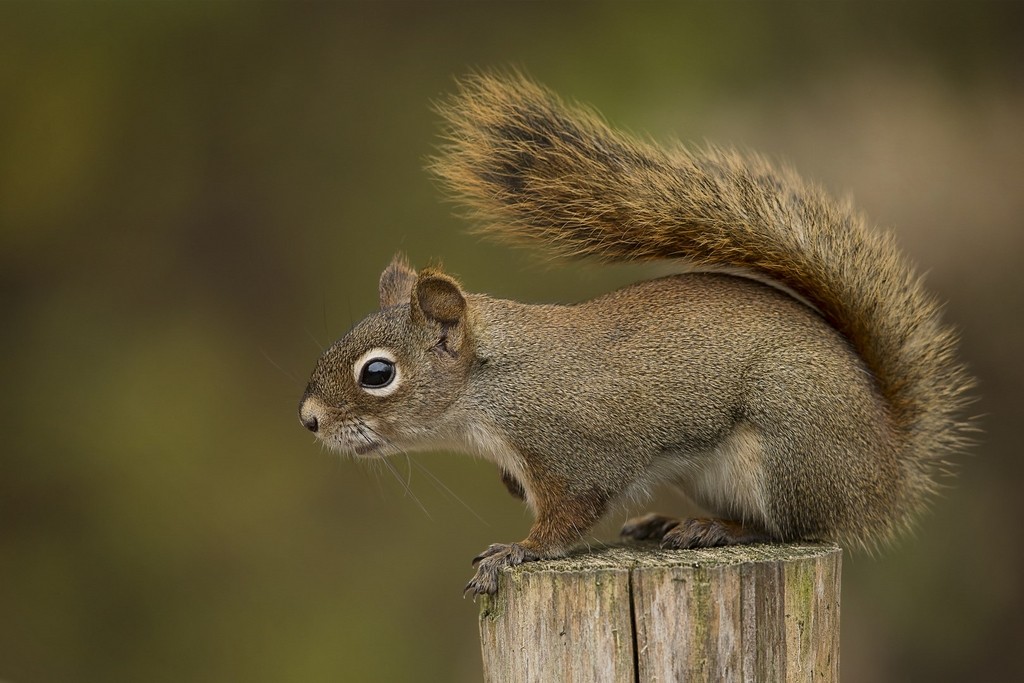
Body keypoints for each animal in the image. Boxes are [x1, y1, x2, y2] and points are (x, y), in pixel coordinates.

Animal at [299, 74, 974, 593]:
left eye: (378, 373)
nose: (308, 419)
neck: (493, 386)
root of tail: (885, 471)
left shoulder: (574, 451)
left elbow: (568, 517)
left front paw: (517, 550)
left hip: (789, 448)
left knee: (794, 527)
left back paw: (719, 530)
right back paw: (660, 524)